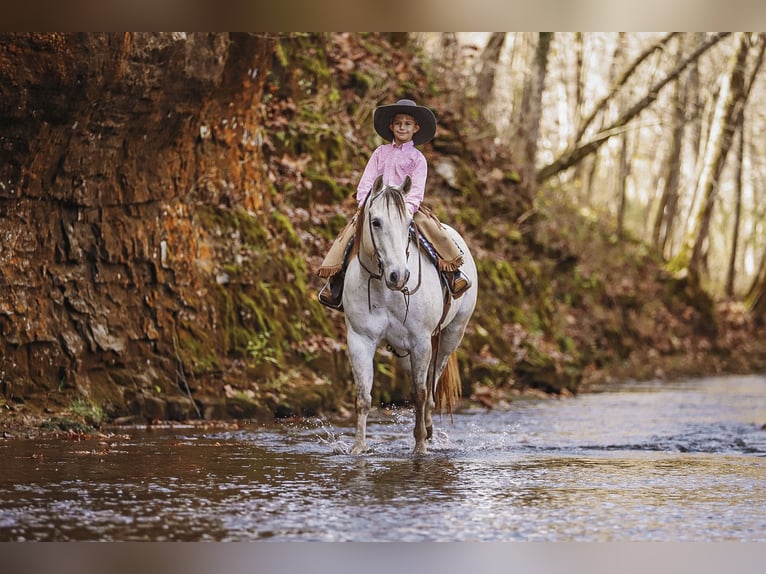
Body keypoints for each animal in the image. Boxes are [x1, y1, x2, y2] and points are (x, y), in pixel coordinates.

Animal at [344, 174, 476, 454]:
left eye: (408, 224)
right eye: (376, 222)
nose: (400, 276)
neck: (385, 289)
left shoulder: (421, 341)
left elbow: (420, 393)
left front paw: (420, 447)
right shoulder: (360, 340)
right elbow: (363, 396)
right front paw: (358, 447)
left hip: (450, 337)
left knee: (432, 384)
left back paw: (428, 430)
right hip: (402, 350)